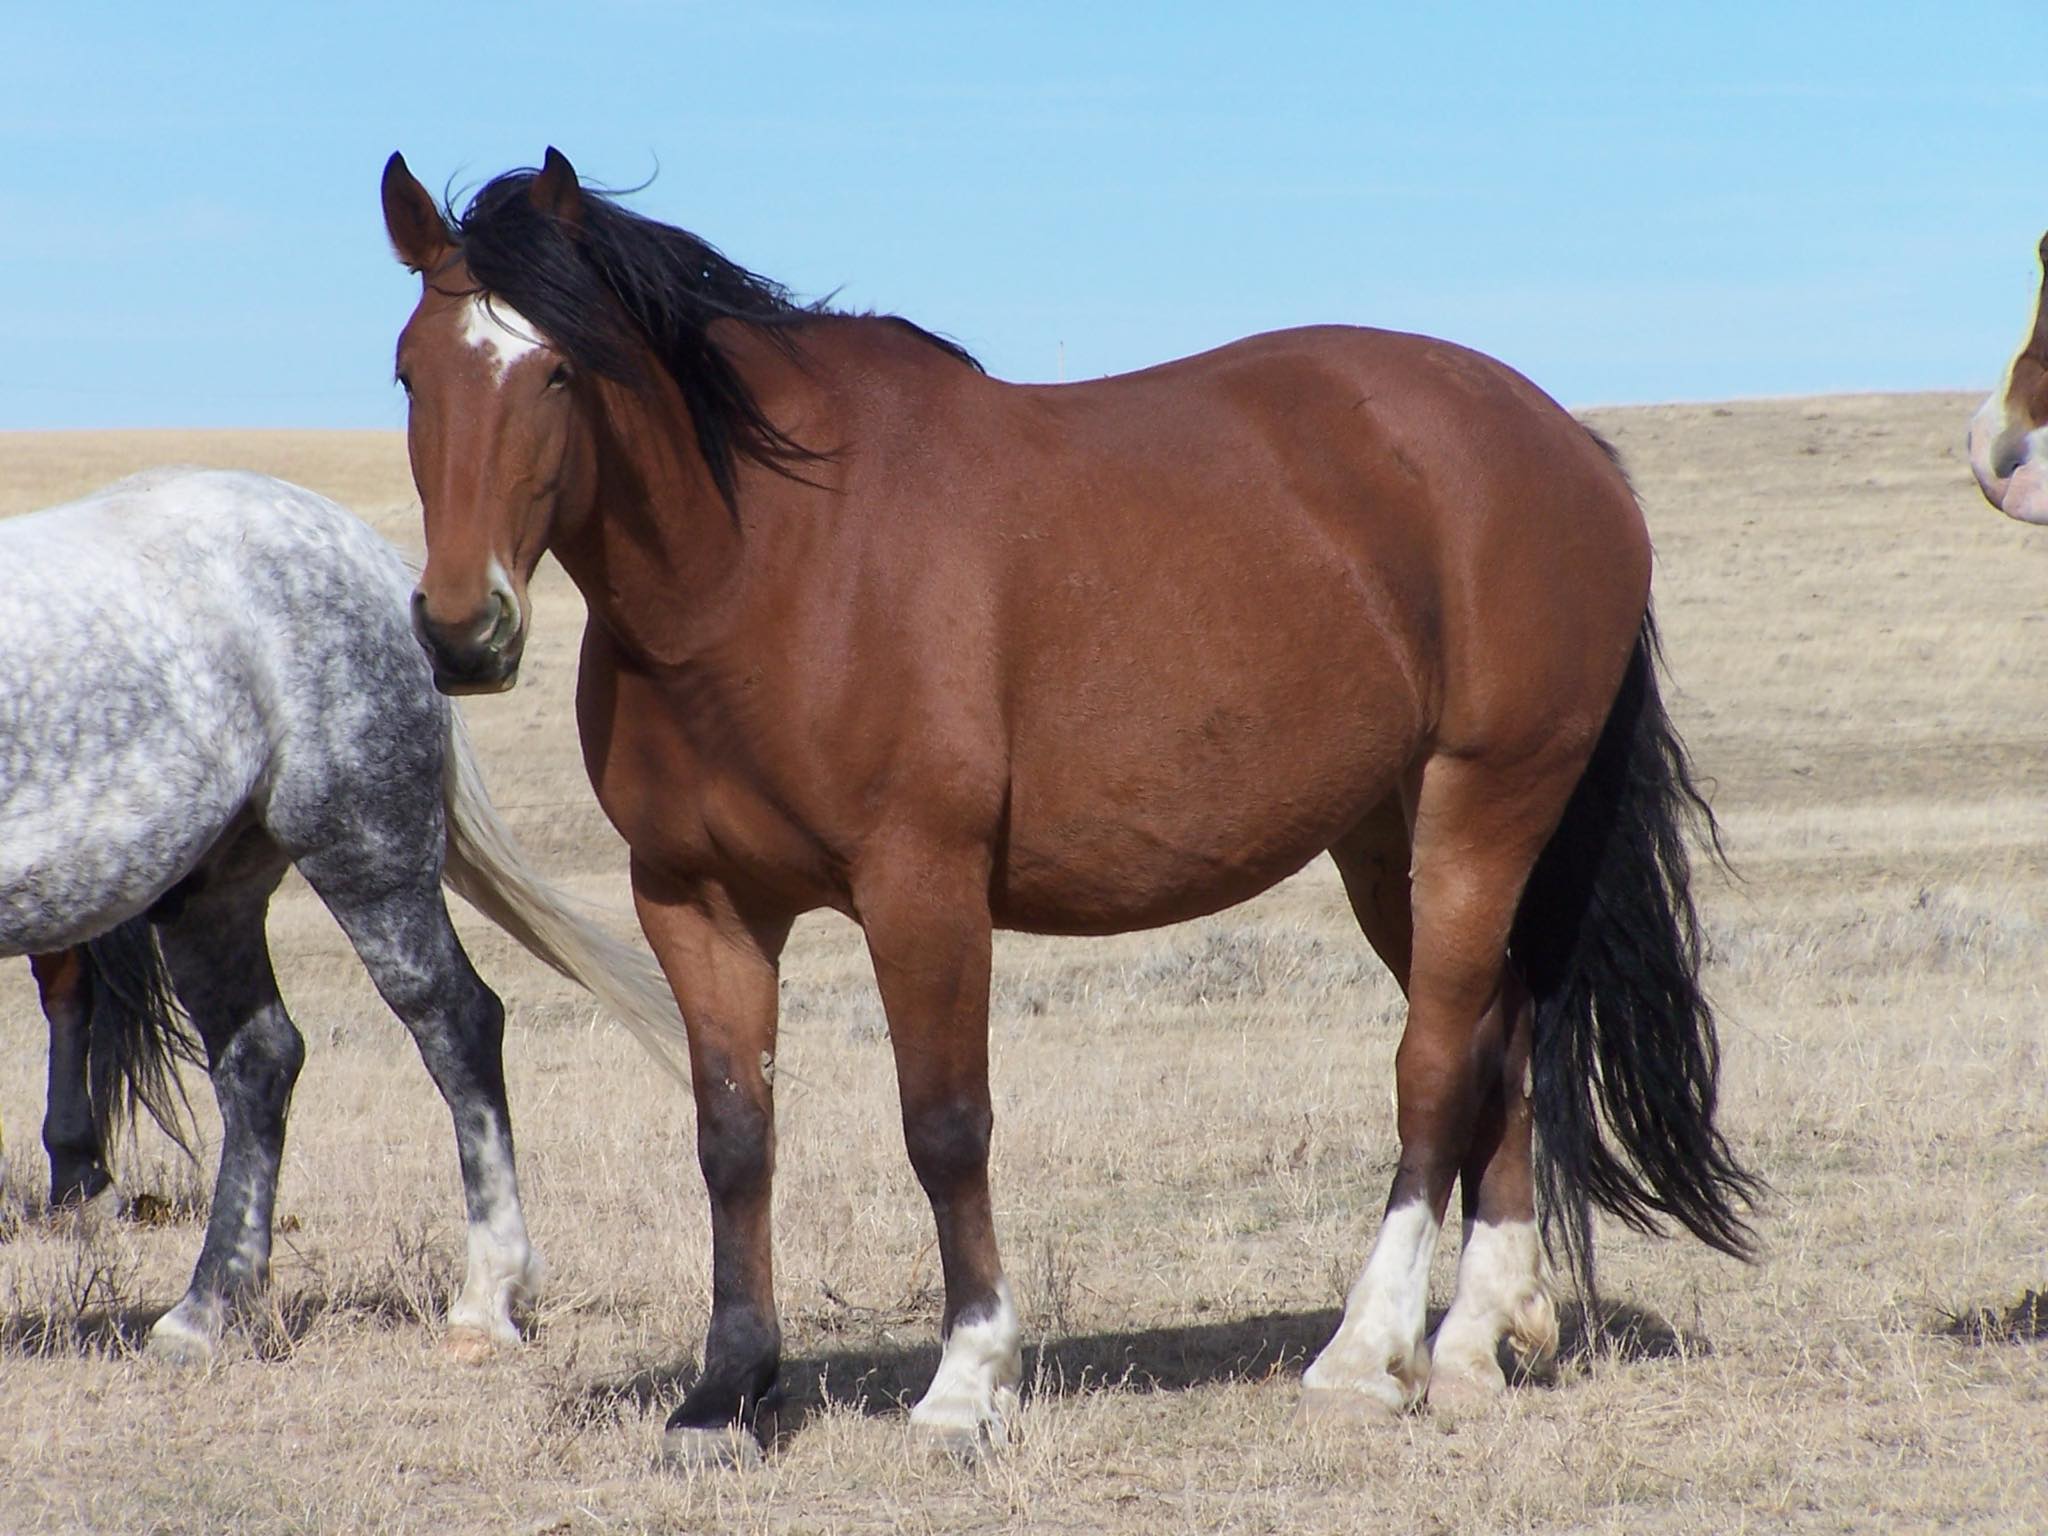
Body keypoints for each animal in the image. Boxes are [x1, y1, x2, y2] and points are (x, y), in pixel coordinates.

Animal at [0, 467, 689, 1363]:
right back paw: (204, 1310)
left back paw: (485, 1298)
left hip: (364, 854)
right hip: (209, 897)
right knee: (259, 1060)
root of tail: (376, 560)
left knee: (457, 1024)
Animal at [383, 147, 1760, 1466]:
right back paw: (1477, 1336)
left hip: (1482, 808)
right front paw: (726, 1393)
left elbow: (943, 1126)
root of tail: (1565, 445)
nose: (462, 632)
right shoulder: (694, 901)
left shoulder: (920, 887)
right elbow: (732, 1135)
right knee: (1499, 1038)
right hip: (1387, 843)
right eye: (408, 374)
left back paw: (1367, 1353)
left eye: (559, 372)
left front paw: (966, 1382)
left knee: (1433, 1063)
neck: (762, 565)